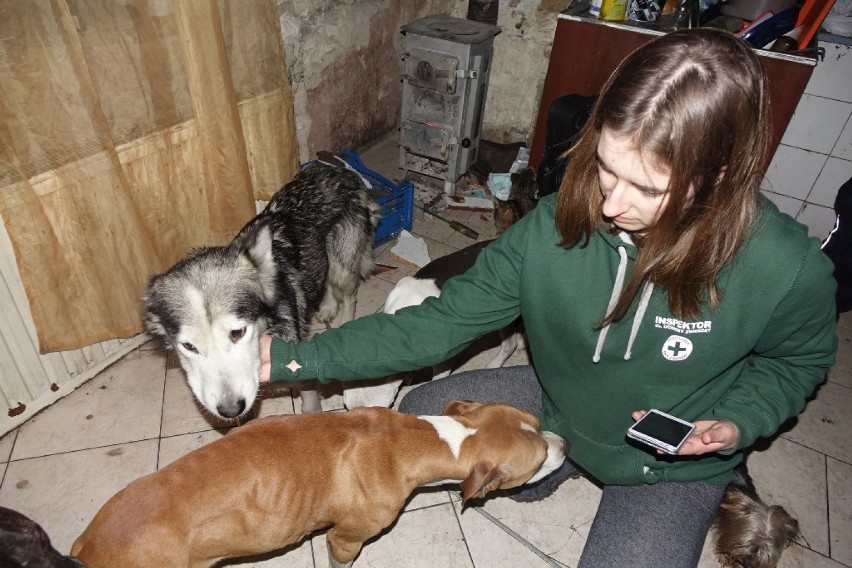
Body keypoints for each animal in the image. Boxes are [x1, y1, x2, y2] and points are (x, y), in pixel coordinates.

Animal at [145, 162, 378, 420]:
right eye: (188, 346)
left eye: (237, 333)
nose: (230, 409)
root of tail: (341, 172)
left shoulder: (303, 372)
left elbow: (310, 407)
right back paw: (327, 308)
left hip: (342, 267)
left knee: (349, 296)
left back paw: (346, 323)